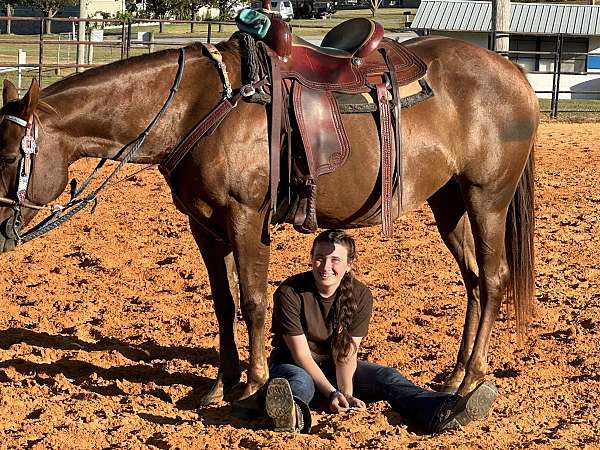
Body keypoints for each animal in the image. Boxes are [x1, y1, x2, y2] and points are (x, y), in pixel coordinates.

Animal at [0, 33, 540, 402]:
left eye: (7, 155)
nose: (2, 231)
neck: (195, 105)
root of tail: (514, 73)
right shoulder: (205, 226)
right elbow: (223, 304)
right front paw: (222, 383)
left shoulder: (246, 218)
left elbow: (255, 300)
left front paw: (255, 383)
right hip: (449, 202)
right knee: (473, 281)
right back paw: (455, 374)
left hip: (487, 198)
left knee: (493, 278)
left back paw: (471, 379)